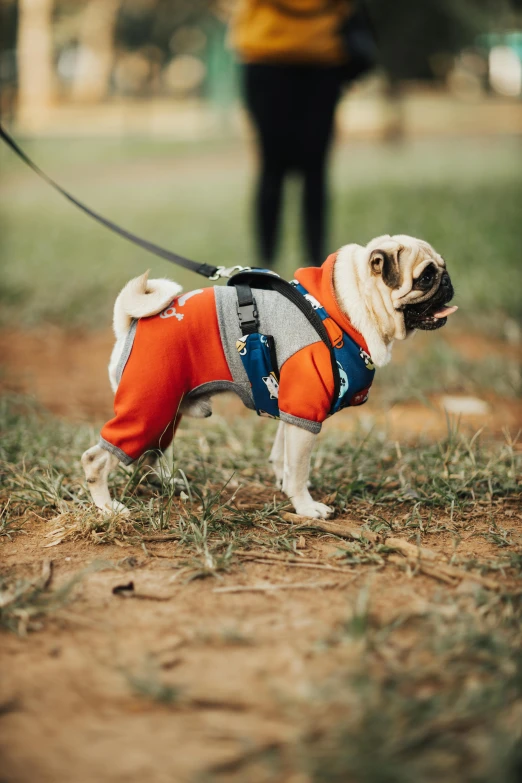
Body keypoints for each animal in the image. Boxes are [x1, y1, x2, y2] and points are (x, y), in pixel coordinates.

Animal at [82, 237, 456, 520]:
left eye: (442, 268)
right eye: (426, 277)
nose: (448, 281)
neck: (341, 308)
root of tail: (130, 324)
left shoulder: (293, 407)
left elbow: (283, 457)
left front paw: (283, 483)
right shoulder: (305, 408)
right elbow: (299, 470)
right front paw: (306, 507)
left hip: (166, 411)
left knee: (150, 455)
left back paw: (170, 485)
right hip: (148, 407)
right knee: (97, 459)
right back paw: (109, 507)